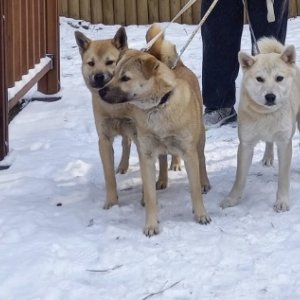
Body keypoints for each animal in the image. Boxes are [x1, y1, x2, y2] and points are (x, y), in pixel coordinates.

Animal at [75, 27, 137, 209]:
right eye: (91, 63)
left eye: (110, 62)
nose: (98, 76)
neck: (114, 106)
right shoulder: (104, 140)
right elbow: (109, 176)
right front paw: (111, 202)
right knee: (126, 143)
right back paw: (123, 166)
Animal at [99, 48, 211, 237]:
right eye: (113, 74)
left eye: (125, 78)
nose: (100, 92)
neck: (158, 106)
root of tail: (180, 66)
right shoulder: (147, 155)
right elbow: (150, 196)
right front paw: (151, 225)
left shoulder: (188, 153)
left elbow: (195, 189)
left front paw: (201, 214)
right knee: (164, 158)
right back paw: (162, 180)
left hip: (199, 139)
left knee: (201, 159)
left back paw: (204, 182)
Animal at [220, 37, 300, 211]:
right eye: (259, 79)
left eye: (279, 78)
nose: (270, 96)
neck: (266, 115)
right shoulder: (246, 144)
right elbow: (239, 178)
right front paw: (232, 199)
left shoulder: (284, 143)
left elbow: (283, 178)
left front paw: (282, 201)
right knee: (269, 142)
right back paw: (268, 157)